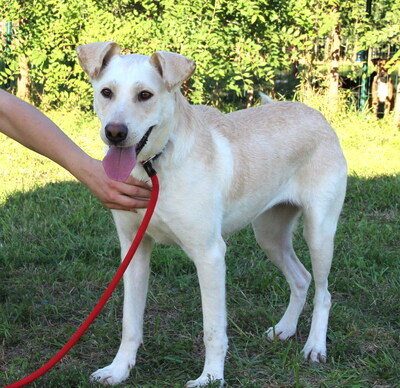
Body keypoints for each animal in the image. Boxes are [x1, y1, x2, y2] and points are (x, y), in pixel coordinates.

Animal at [76, 41, 346, 386]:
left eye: (145, 95)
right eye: (106, 92)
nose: (115, 133)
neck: (155, 167)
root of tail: (316, 114)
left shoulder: (210, 255)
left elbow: (213, 329)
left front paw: (211, 378)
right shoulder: (134, 250)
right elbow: (130, 322)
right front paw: (119, 369)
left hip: (319, 232)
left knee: (324, 291)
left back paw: (315, 346)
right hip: (269, 235)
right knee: (301, 278)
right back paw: (284, 329)